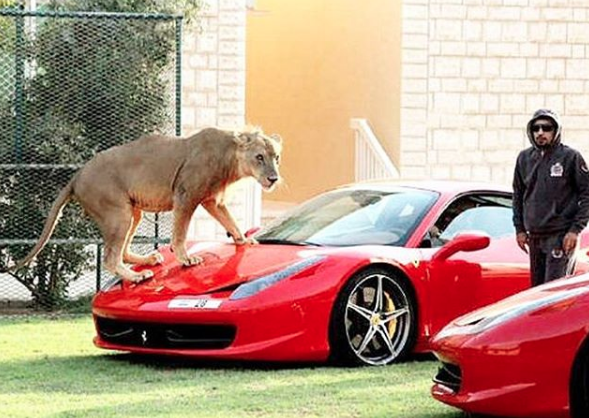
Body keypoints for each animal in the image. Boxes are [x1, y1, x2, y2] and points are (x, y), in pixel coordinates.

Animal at [8, 127, 282, 282]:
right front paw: (185, 259)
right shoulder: (186, 196)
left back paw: (149, 260)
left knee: (122, 251)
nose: (274, 178)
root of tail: (77, 175)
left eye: (276, 157)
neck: (230, 158)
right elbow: (180, 232)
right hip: (117, 213)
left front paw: (244, 240)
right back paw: (138, 276)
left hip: (133, 212)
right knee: (110, 257)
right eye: (259, 157)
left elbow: (231, 222)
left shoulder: (212, 200)